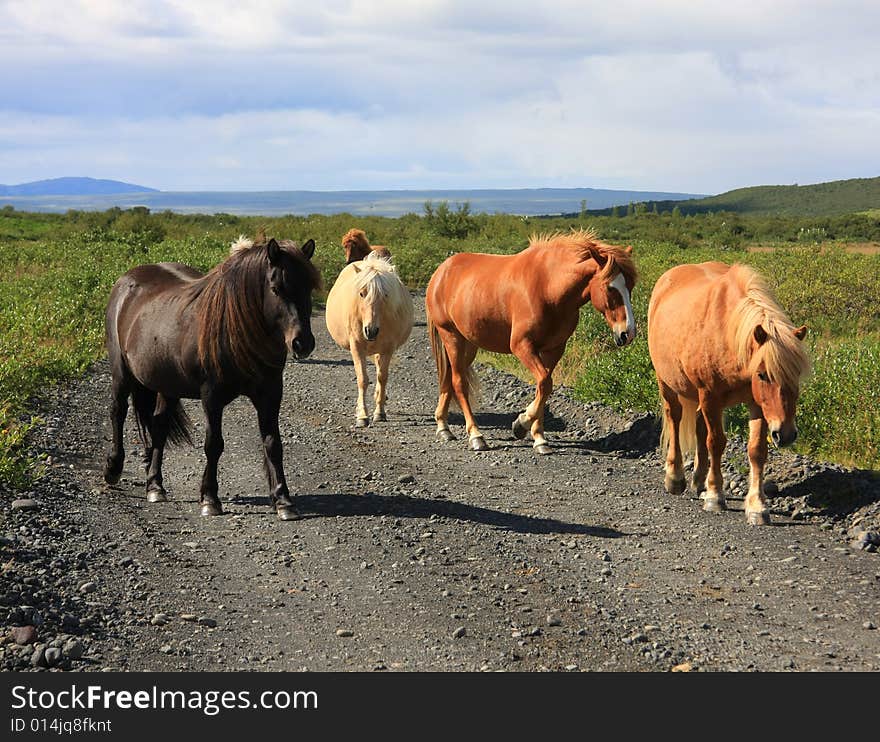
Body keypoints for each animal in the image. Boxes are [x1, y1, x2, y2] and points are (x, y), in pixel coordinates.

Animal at [103, 238, 322, 524]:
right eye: (276, 288)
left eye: (309, 287)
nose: (302, 343)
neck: (236, 328)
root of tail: (126, 281)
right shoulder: (212, 396)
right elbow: (214, 445)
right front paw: (209, 498)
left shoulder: (270, 393)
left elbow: (273, 443)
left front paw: (283, 500)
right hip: (121, 372)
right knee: (118, 412)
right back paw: (113, 468)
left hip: (167, 385)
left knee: (158, 426)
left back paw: (155, 485)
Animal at [324, 251, 414, 428]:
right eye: (361, 293)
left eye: (385, 295)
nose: (371, 331)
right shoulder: (356, 347)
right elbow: (362, 380)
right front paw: (362, 416)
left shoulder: (388, 348)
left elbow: (382, 378)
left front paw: (379, 412)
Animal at [424, 231, 636, 454]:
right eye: (610, 288)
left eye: (630, 286)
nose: (627, 333)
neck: (548, 287)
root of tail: (441, 272)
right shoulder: (522, 346)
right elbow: (544, 383)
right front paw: (522, 423)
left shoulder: (553, 349)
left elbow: (544, 386)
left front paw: (538, 437)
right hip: (451, 336)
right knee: (458, 382)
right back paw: (476, 436)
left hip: (469, 343)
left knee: (448, 378)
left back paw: (444, 428)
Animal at [648, 264, 812, 528]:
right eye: (763, 374)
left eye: (797, 372)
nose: (786, 434)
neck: (727, 335)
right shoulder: (710, 396)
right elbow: (716, 442)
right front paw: (715, 496)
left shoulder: (757, 404)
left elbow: (756, 450)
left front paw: (757, 506)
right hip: (668, 384)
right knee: (675, 418)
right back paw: (675, 477)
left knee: (699, 426)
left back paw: (699, 480)